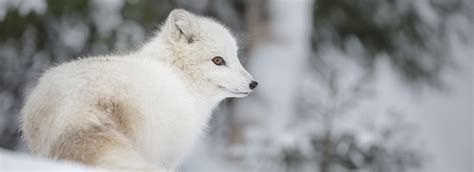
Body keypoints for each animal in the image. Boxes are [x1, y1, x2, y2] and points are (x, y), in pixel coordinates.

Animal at [20, 9, 258, 172]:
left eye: (236, 57)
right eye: (218, 60)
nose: (253, 84)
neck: (179, 77)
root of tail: (73, 106)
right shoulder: (169, 156)